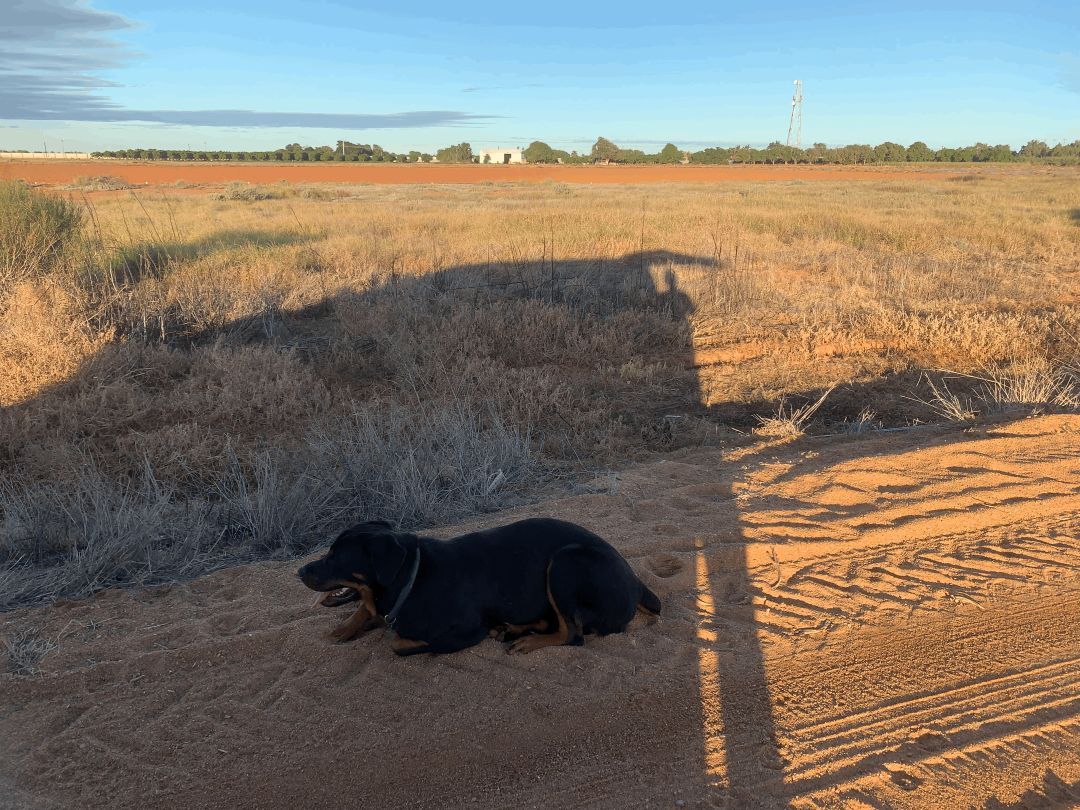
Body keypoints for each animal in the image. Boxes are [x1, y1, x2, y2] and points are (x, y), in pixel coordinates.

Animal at [300, 516, 660, 656]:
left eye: (335, 556)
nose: (300, 571)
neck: (412, 578)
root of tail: (636, 582)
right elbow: (367, 609)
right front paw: (346, 627)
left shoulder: (465, 630)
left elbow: (399, 643)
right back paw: (515, 629)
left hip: (565, 562)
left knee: (573, 633)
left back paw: (525, 640)